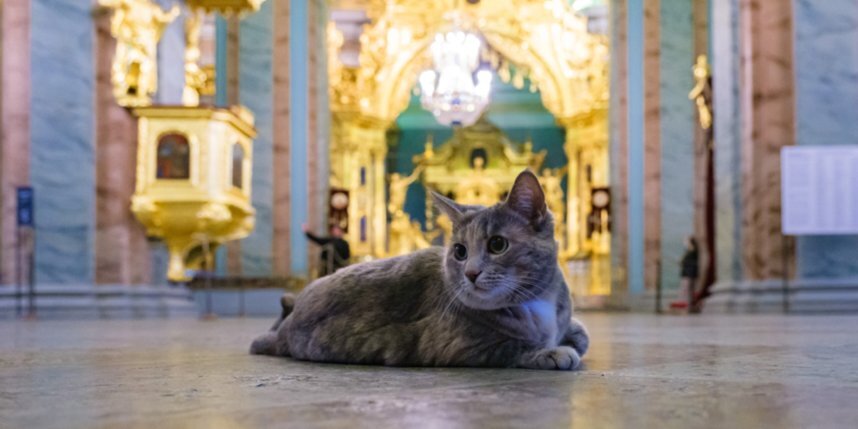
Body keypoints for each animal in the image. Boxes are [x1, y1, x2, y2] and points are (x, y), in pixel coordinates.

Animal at [249, 170, 588, 368]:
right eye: (460, 251)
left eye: (497, 244)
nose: (471, 273)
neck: (535, 302)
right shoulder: (455, 346)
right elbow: (512, 347)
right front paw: (552, 352)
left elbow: (580, 332)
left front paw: (570, 336)